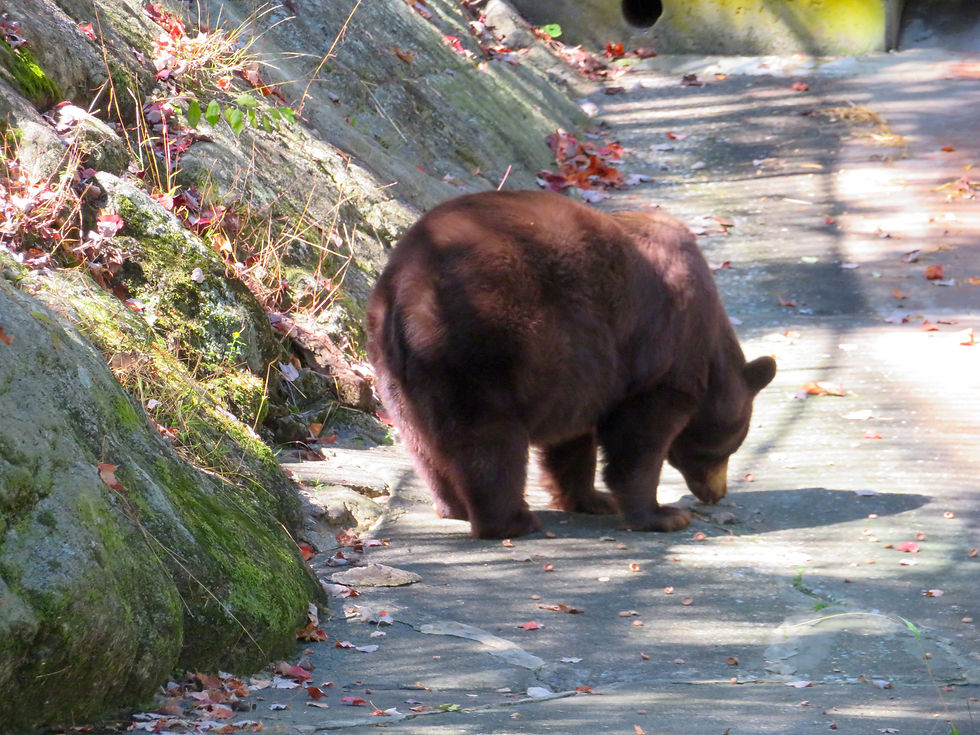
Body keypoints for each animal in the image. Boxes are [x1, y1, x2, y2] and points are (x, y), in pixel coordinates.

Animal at [367, 190, 776, 539]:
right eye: (729, 446)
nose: (716, 493)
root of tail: (407, 289)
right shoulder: (663, 354)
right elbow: (640, 436)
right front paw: (663, 514)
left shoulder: (586, 373)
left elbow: (572, 441)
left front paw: (592, 499)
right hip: (481, 346)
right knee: (486, 440)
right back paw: (512, 520)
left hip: (398, 374)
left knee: (422, 443)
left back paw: (453, 507)